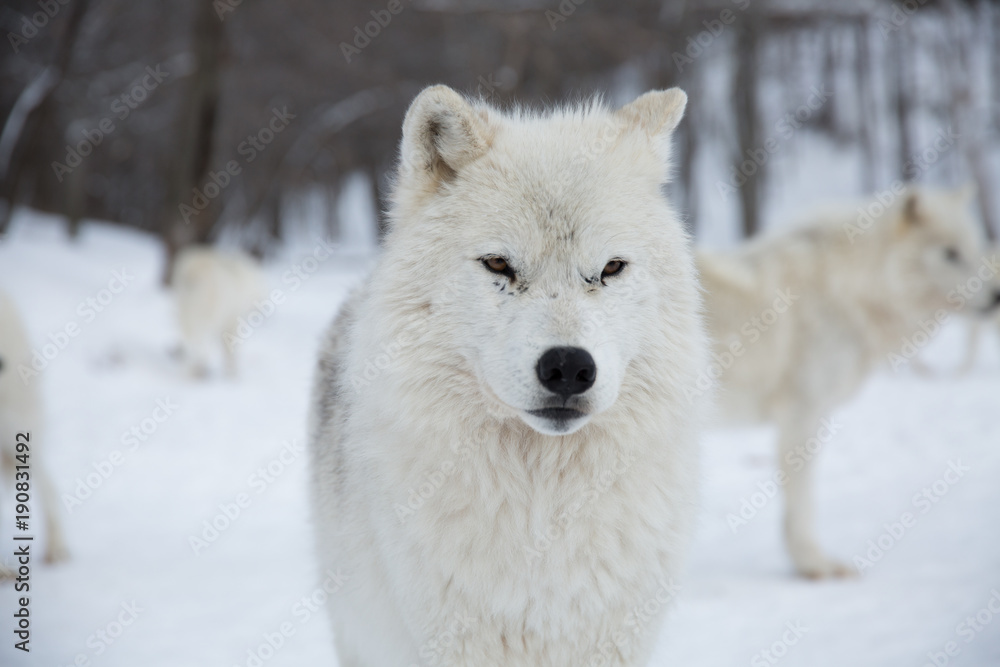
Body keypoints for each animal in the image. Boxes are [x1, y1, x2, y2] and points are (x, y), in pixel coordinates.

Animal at [172, 246, 265, 378]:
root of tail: (192, 273)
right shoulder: (232, 322)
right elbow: (230, 349)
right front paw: (233, 374)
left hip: (184, 309)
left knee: (190, 340)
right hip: (204, 313)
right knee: (200, 344)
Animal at [698, 185, 999, 578]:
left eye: (974, 249)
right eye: (950, 253)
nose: (997, 298)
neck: (846, 290)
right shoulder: (802, 414)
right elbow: (802, 503)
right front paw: (814, 565)